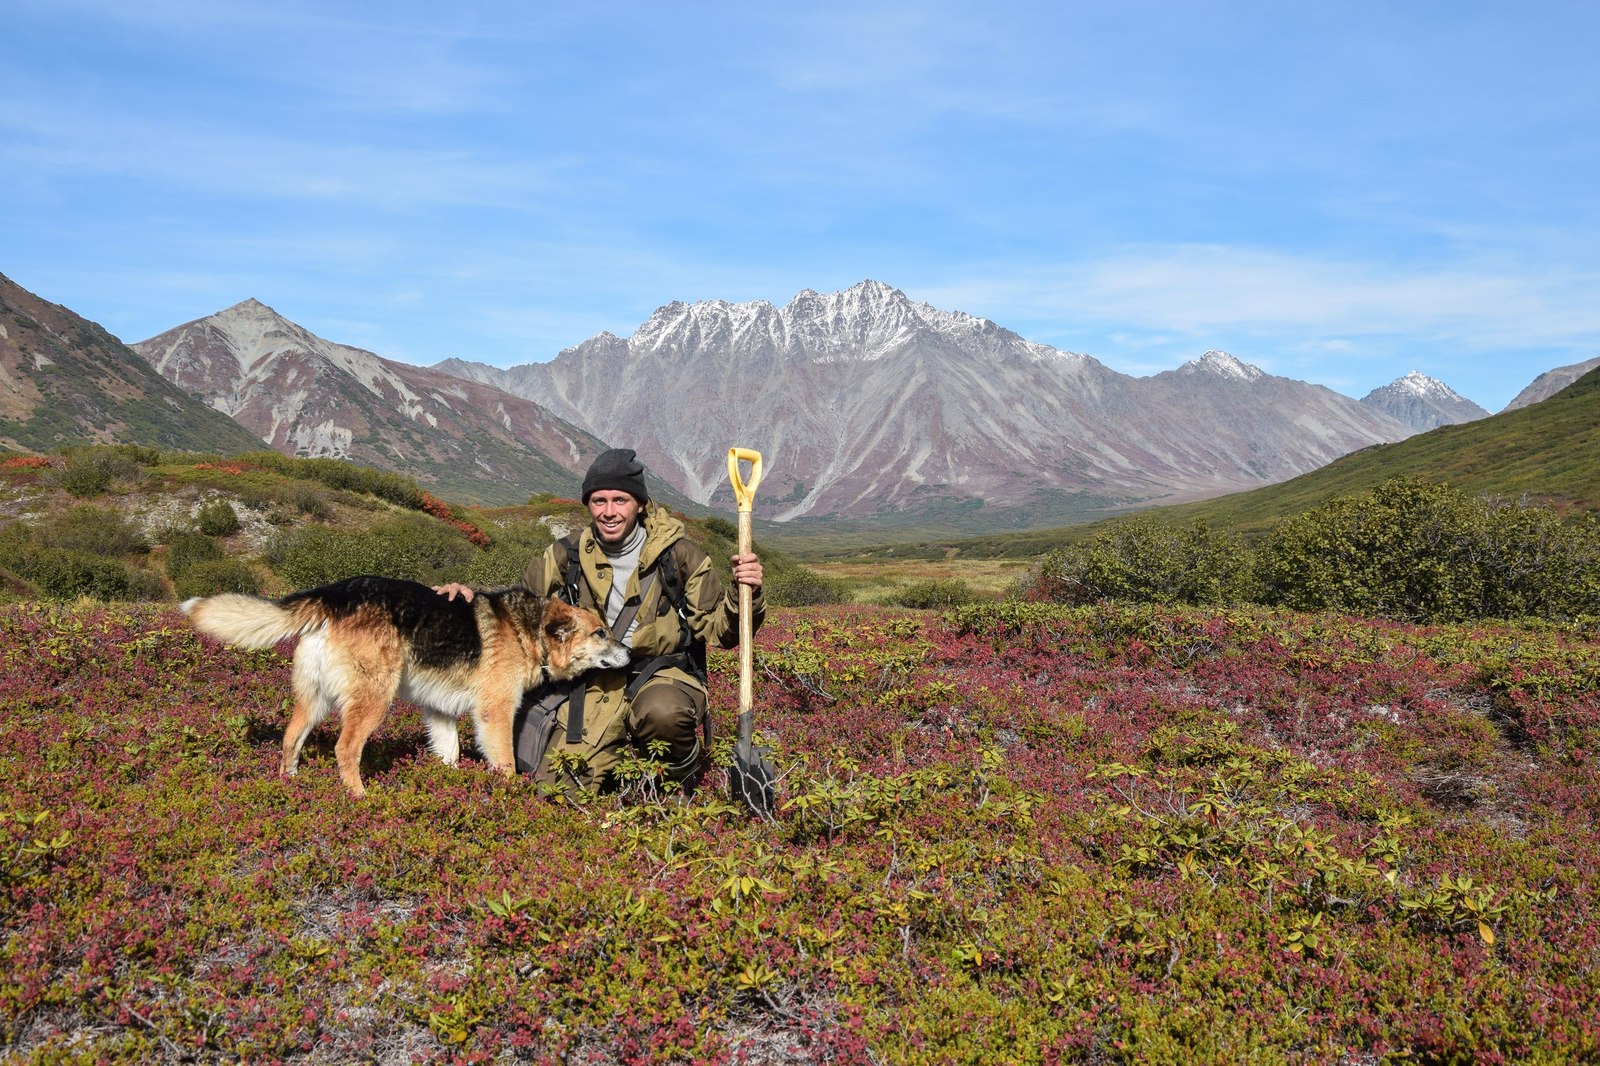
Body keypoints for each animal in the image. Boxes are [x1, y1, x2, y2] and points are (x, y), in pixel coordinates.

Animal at [187, 576, 630, 793]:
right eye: (601, 633)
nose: (630, 654)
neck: (529, 629)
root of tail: (335, 594)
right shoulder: (495, 712)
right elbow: (504, 763)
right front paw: (510, 799)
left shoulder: (440, 711)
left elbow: (449, 754)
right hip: (374, 698)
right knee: (345, 749)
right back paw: (360, 798)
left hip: (313, 699)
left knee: (290, 739)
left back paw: (290, 785)